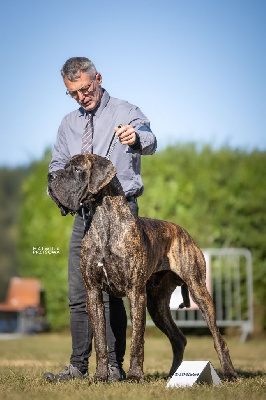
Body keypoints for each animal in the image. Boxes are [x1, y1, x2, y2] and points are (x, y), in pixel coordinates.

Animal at [47, 153, 237, 382]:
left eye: (76, 169)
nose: (50, 176)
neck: (104, 221)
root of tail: (184, 232)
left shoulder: (136, 293)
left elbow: (137, 339)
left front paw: (135, 375)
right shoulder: (93, 293)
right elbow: (100, 340)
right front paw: (101, 375)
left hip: (198, 289)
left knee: (219, 339)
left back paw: (229, 372)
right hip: (157, 305)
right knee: (178, 338)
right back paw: (174, 375)